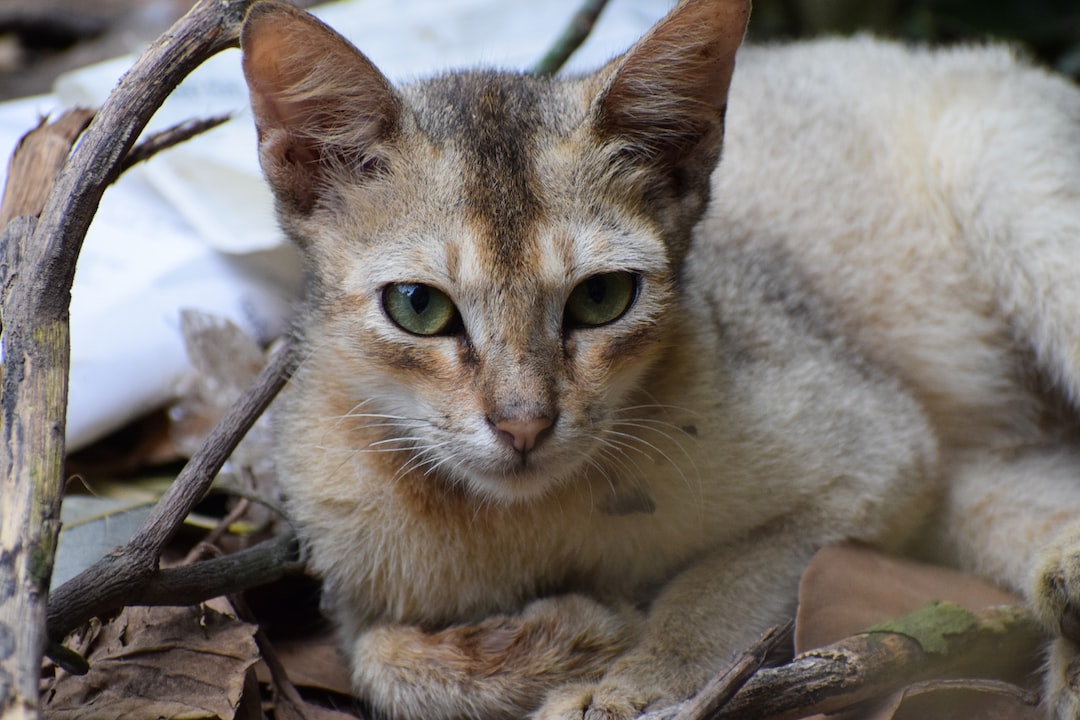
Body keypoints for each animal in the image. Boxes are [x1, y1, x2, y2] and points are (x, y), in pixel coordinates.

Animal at [240, 0, 1080, 717]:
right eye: (419, 306)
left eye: (602, 297)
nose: (523, 425)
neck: (526, 524)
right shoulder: (349, 588)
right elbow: (382, 663)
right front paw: (569, 642)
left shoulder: (881, 457)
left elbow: (719, 586)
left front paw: (629, 678)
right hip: (979, 487)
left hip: (1019, 207)